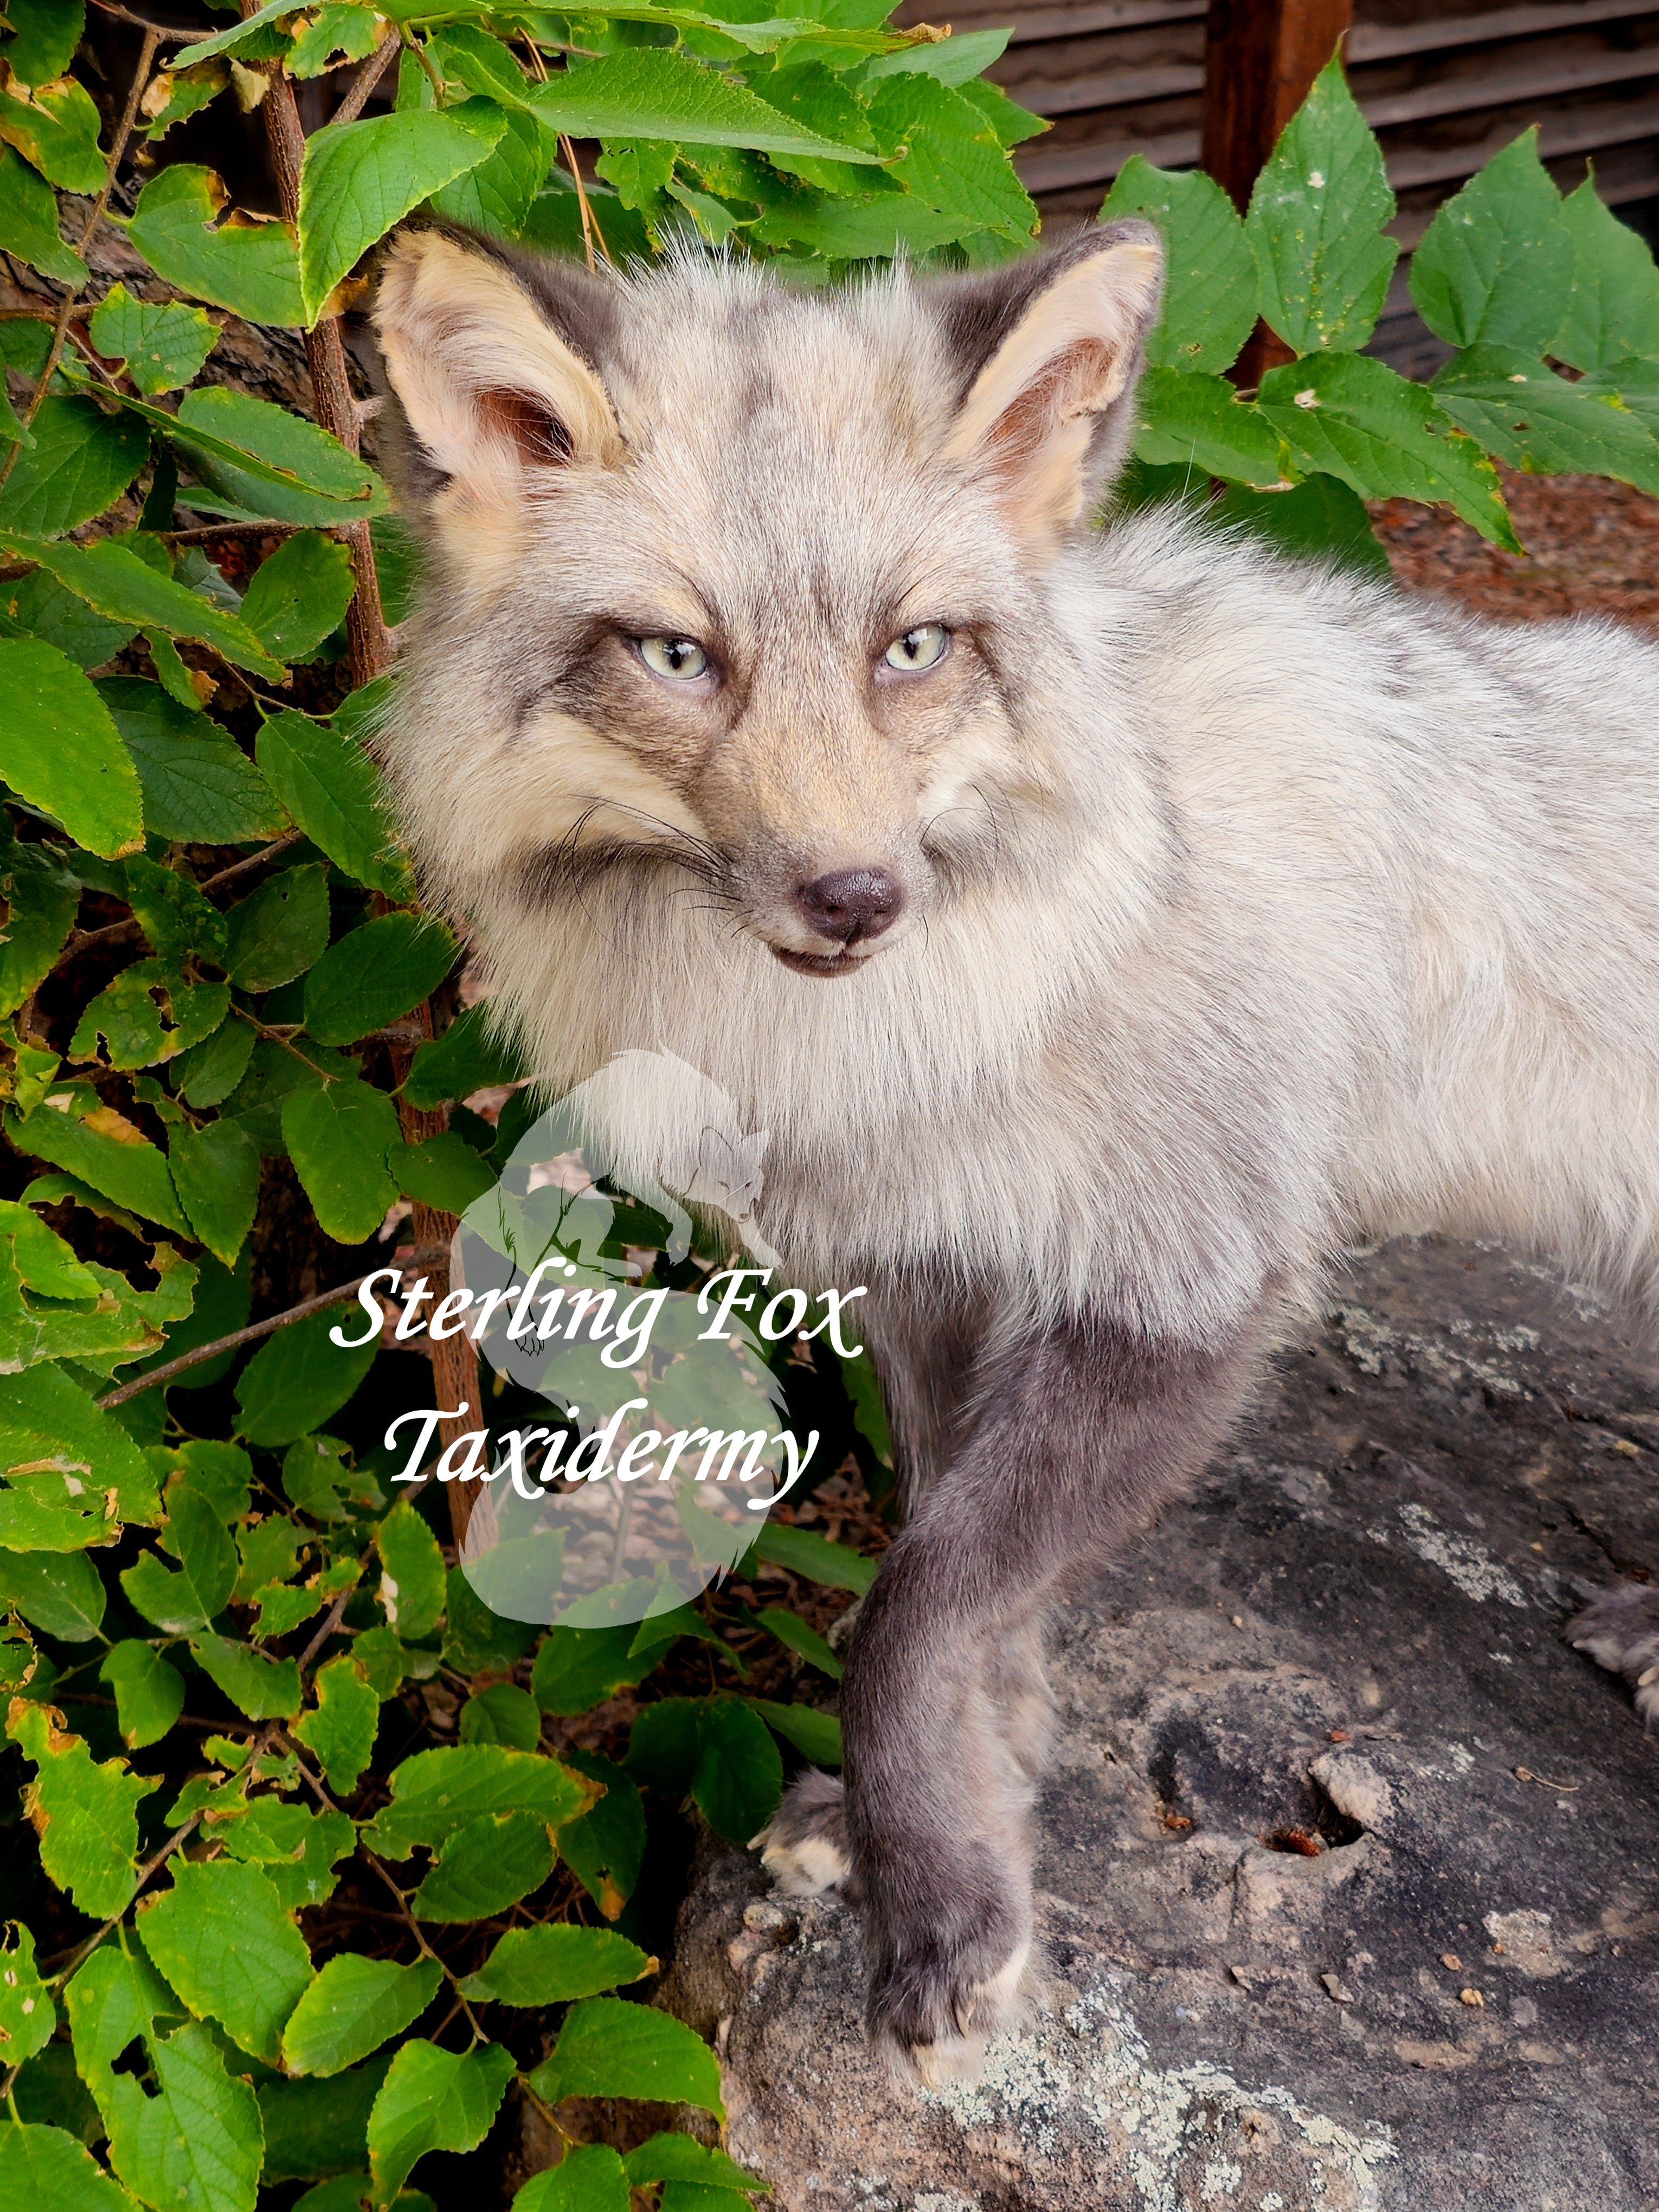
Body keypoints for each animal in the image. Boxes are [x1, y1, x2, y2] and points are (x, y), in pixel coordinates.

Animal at [370, 218, 1659, 2082]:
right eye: (678, 658)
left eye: (913, 649)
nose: (855, 898)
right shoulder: (934, 1271)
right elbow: (960, 1594)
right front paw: (938, 1819)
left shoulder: (1180, 1290)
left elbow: (907, 1611)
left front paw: (942, 1909)